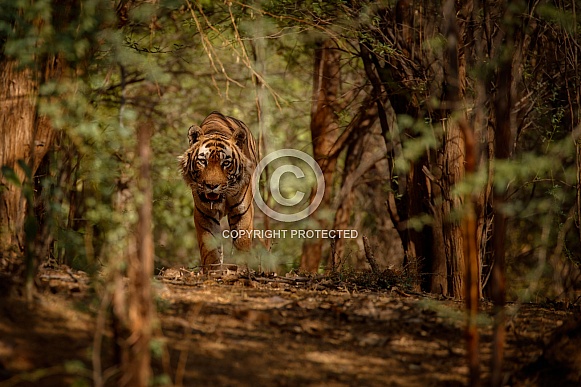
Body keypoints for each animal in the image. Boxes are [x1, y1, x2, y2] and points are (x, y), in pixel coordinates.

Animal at [178, 110, 258, 272]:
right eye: (203, 161)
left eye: (226, 163)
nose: (211, 185)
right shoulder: (204, 213)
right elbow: (210, 247)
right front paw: (212, 271)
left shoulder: (243, 210)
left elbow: (242, 242)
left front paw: (242, 270)